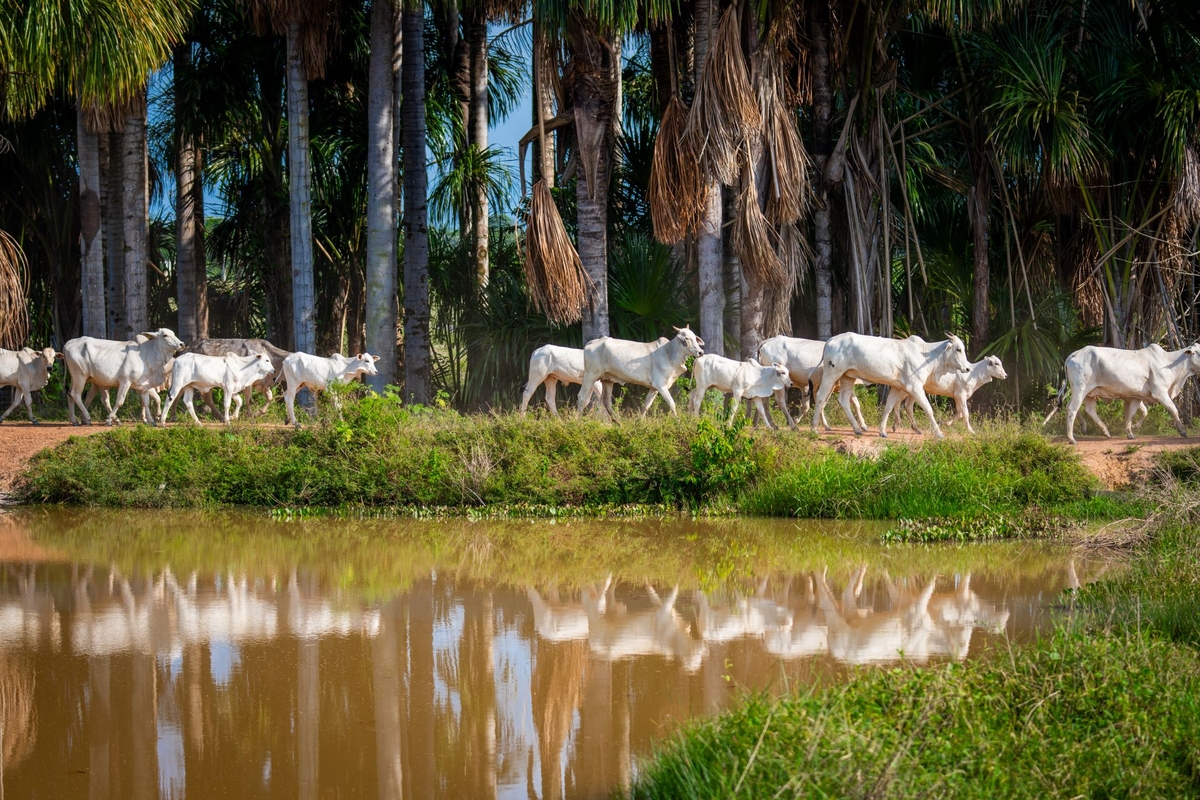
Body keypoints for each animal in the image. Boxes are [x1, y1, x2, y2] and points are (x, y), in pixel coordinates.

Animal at [806, 335, 974, 441]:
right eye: (958, 349)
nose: (967, 368)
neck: (926, 355)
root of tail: (831, 340)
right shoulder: (915, 387)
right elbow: (928, 409)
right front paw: (939, 433)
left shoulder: (896, 387)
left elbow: (888, 407)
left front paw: (882, 431)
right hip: (832, 373)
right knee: (821, 397)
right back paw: (814, 428)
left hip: (848, 376)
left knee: (844, 400)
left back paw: (857, 428)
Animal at [878, 355, 1008, 434]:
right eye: (996, 363)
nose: (1005, 375)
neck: (973, 373)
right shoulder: (961, 395)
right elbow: (965, 413)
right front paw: (971, 431)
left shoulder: (957, 396)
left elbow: (960, 413)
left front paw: (945, 423)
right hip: (908, 389)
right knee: (900, 403)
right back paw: (899, 425)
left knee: (904, 404)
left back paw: (906, 427)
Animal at [1041, 343, 1200, 448]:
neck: (1169, 362)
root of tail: (1075, 354)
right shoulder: (1160, 392)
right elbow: (1173, 410)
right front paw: (1183, 431)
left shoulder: (1135, 397)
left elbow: (1133, 414)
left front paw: (1131, 432)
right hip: (1080, 389)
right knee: (1072, 409)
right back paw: (1071, 438)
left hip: (1089, 393)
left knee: (1087, 410)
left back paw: (1103, 431)